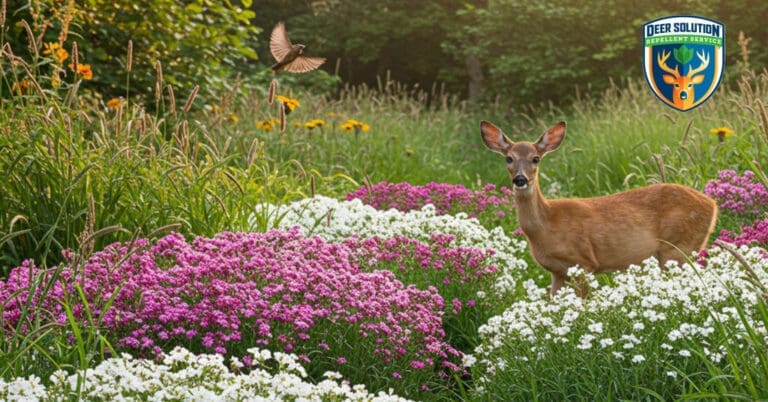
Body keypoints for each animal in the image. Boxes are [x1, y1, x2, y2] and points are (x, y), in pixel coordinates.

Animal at [480, 120, 718, 296]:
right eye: (509, 158)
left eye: (535, 158)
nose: (520, 179)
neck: (547, 225)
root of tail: (712, 205)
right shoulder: (558, 272)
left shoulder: (584, 262)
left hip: (678, 247)